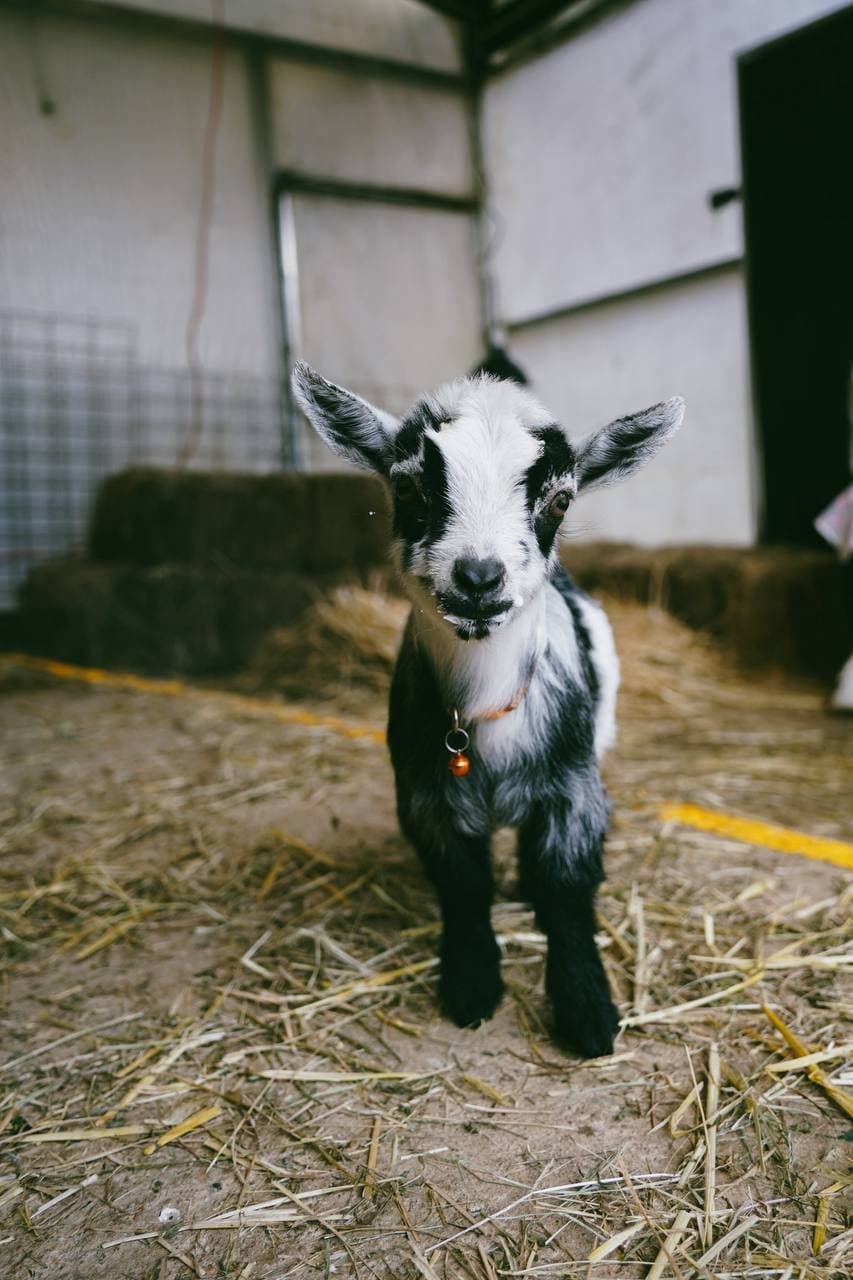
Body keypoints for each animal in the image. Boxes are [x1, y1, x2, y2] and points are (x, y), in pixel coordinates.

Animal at [292, 363, 684, 1057]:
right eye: (408, 486)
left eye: (560, 500)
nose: (479, 577)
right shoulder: (427, 797)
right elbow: (463, 885)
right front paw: (471, 985)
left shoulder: (574, 788)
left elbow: (568, 889)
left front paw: (586, 1009)